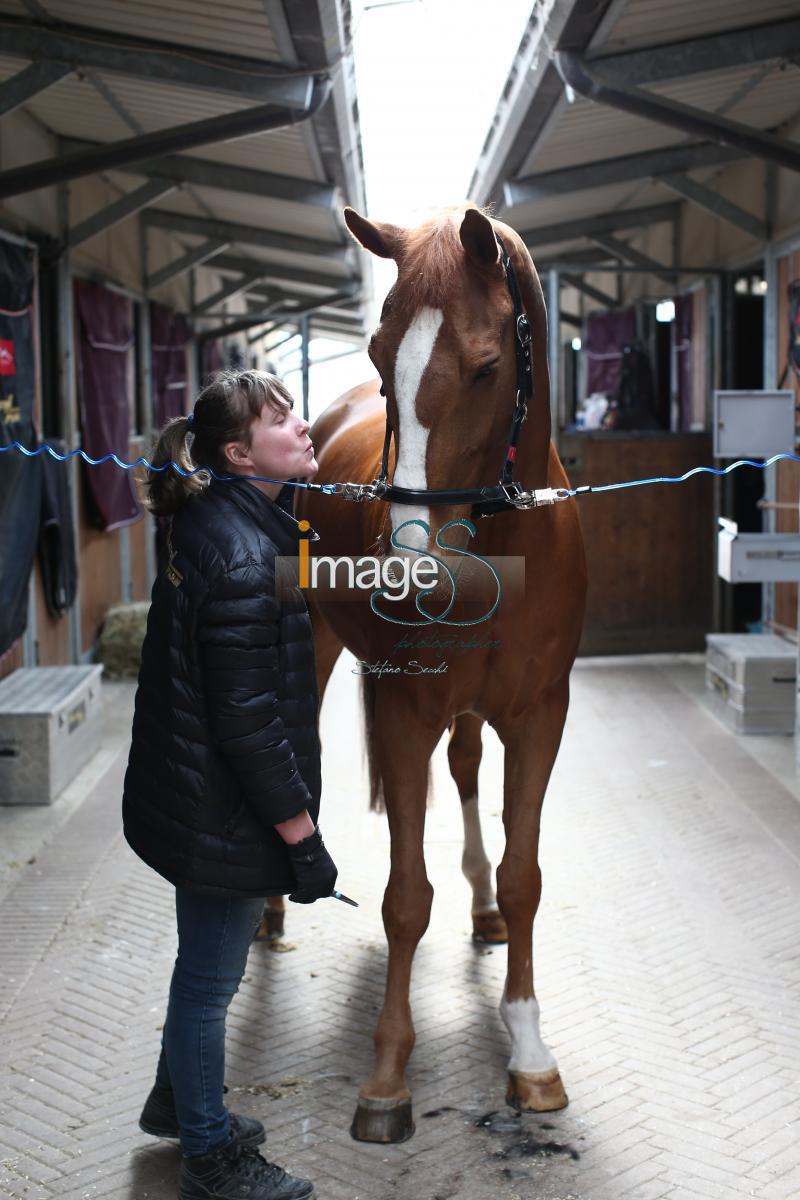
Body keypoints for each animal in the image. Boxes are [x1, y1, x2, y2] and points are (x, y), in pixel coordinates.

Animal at [297, 206, 585, 1142]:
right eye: (382, 354)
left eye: (488, 367)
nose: (406, 568)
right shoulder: (403, 710)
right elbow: (404, 899)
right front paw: (388, 1076)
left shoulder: (539, 716)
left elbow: (526, 877)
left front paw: (529, 1052)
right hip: (320, 648)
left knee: (460, 772)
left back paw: (482, 903)